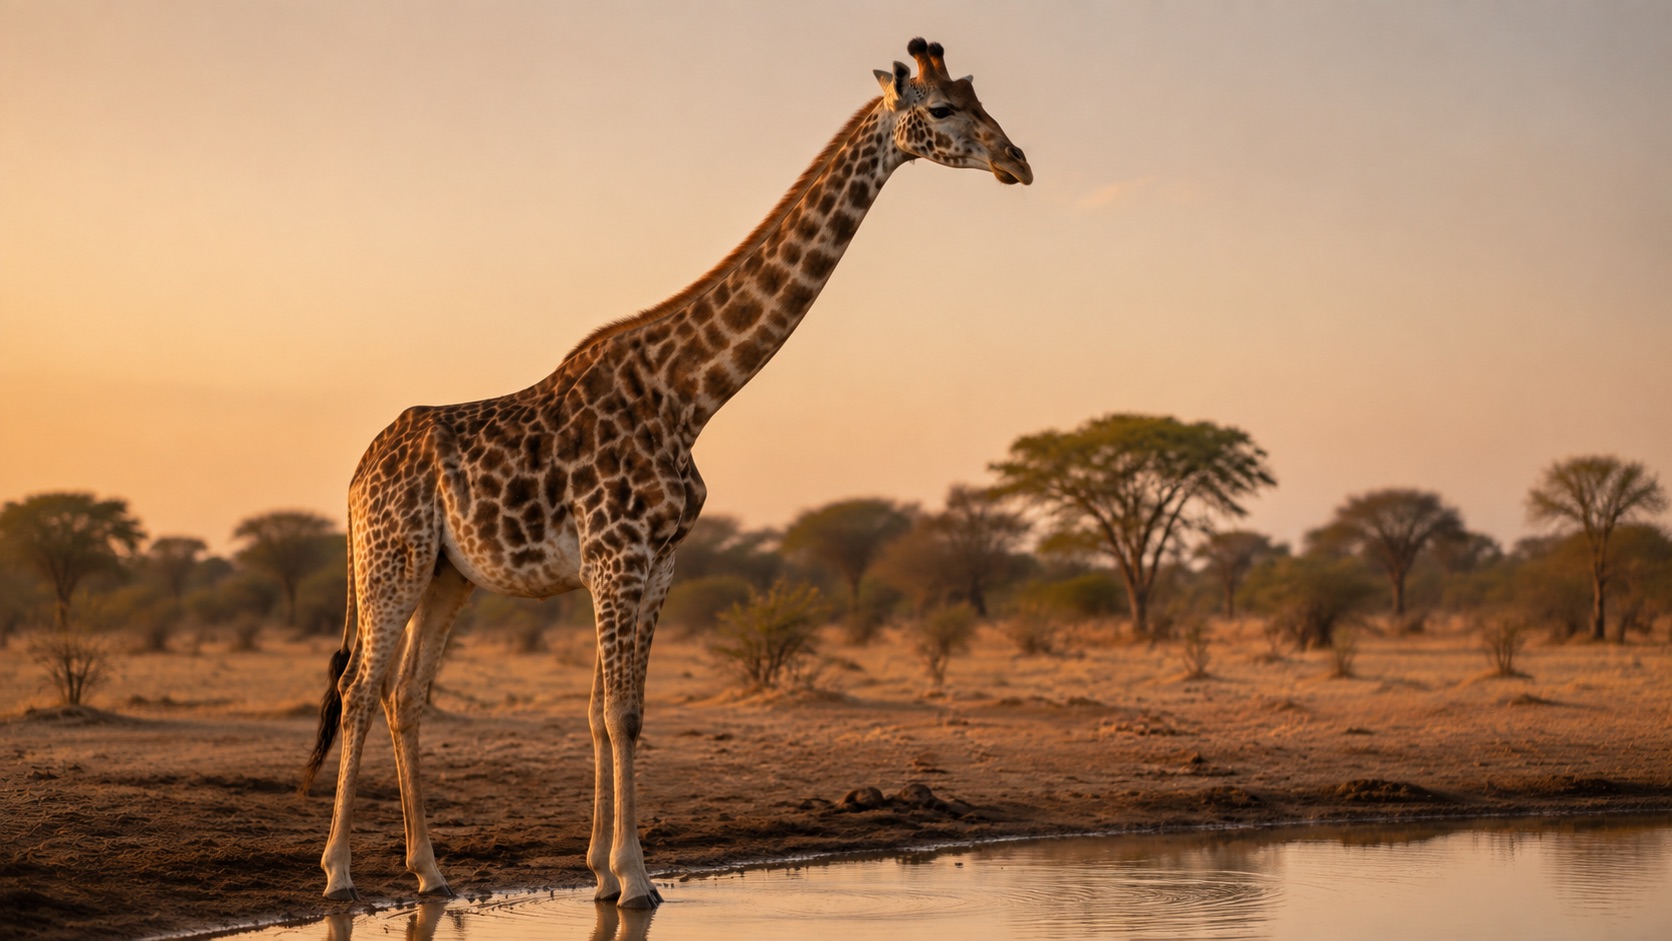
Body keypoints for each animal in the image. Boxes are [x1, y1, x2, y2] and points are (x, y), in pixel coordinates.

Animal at [299, 37, 1032, 910]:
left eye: (979, 98)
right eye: (944, 108)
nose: (1019, 161)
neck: (691, 392)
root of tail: (355, 474)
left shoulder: (657, 566)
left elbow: (615, 710)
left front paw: (601, 869)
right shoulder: (617, 558)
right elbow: (617, 711)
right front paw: (636, 877)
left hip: (451, 574)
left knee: (405, 694)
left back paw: (431, 871)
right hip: (392, 561)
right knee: (356, 690)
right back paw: (338, 873)